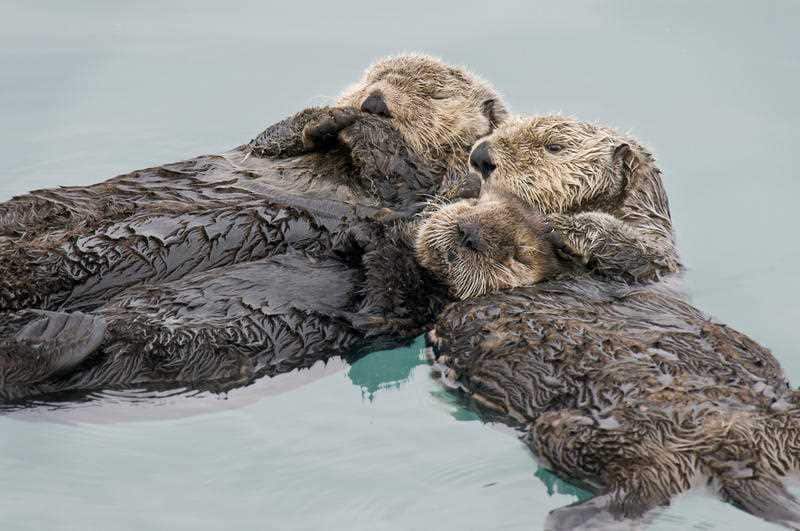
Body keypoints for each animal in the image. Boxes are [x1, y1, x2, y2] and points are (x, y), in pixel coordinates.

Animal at [0, 54, 506, 311]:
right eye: (375, 77)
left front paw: (364, 128)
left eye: (432, 95)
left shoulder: (425, 188)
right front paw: (325, 116)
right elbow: (270, 140)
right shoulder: (265, 146)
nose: (374, 101)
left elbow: (397, 178)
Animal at [418, 194, 799, 529]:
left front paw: (565, 226)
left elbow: (637, 258)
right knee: (646, 484)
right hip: (572, 432)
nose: (468, 233)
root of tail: (740, 459)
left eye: (517, 254)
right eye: (474, 205)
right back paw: (572, 518)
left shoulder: (637, 277)